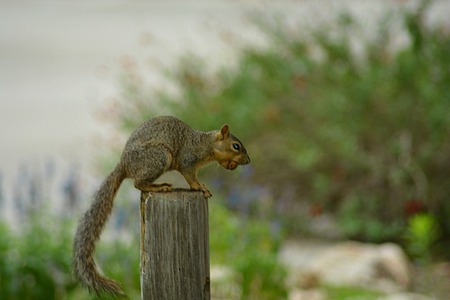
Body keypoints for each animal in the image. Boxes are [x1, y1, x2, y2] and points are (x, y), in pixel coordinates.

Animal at [72, 116, 251, 296]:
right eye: (236, 146)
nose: (248, 161)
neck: (206, 144)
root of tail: (124, 164)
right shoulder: (187, 161)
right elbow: (191, 179)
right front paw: (200, 188)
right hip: (159, 157)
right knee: (138, 184)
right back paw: (158, 187)